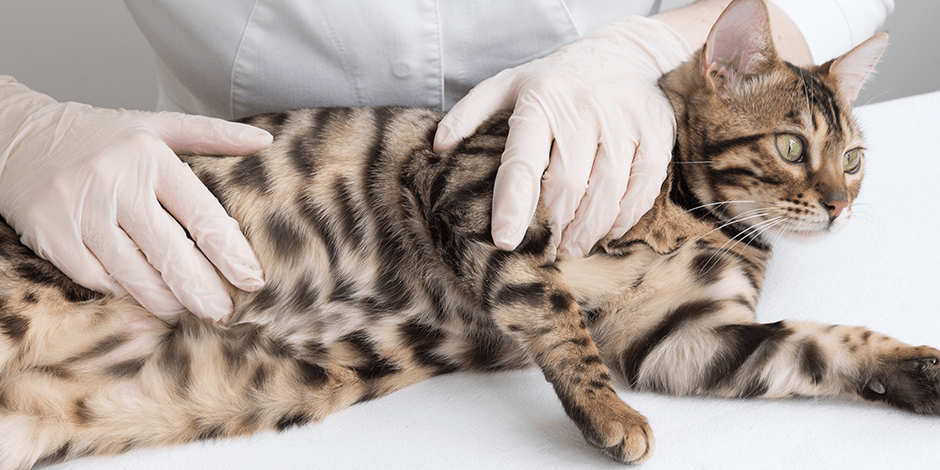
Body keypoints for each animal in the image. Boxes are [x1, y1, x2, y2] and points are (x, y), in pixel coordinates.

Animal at [0, 0, 932, 466]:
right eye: (791, 146)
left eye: (854, 159)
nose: (840, 205)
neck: (696, 215)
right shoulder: (478, 193)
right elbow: (557, 315)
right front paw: (607, 413)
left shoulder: (684, 336)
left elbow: (824, 344)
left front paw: (918, 369)